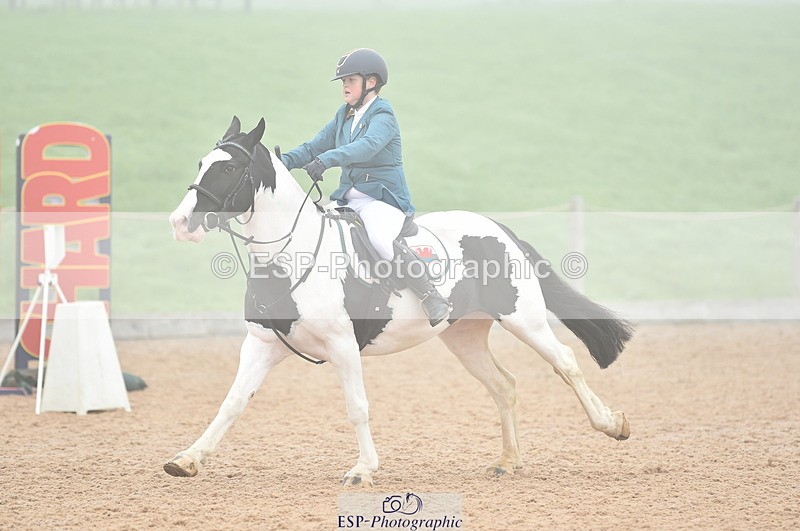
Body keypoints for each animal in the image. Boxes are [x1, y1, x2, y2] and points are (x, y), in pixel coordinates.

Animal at [166, 116, 634, 486]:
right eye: (201, 164)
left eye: (230, 167)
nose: (180, 222)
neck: (289, 255)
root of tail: (500, 229)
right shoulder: (262, 345)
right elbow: (232, 402)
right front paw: (187, 459)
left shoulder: (342, 346)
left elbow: (357, 407)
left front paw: (363, 469)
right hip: (464, 336)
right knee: (504, 385)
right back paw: (507, 460)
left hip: (524, 319)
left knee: (565, 362)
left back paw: (612, 424)